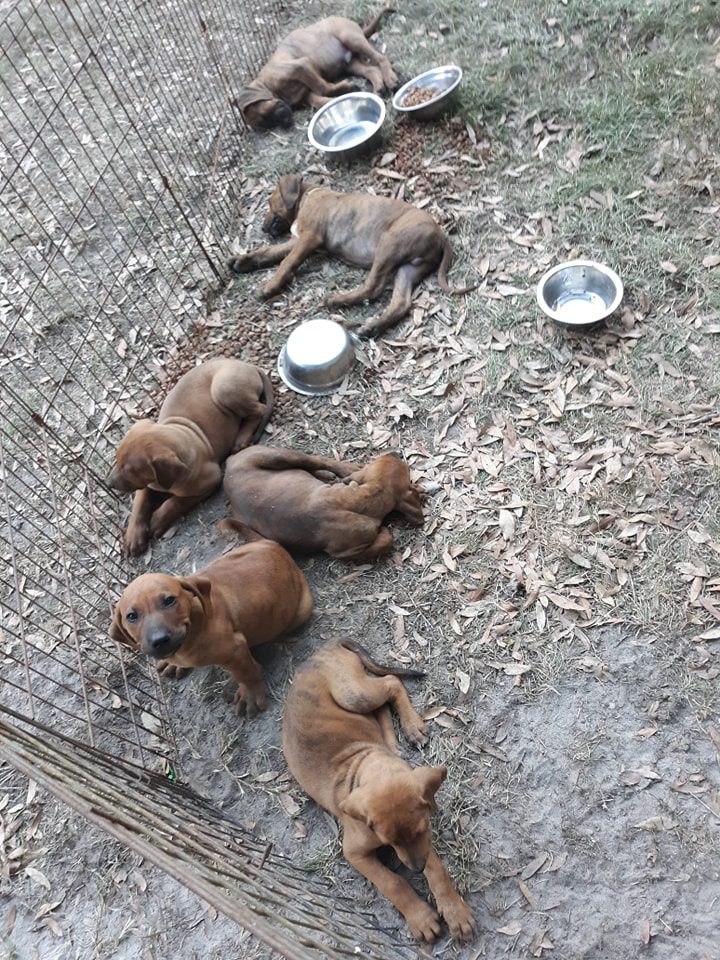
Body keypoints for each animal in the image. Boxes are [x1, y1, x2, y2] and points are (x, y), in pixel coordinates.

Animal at [107, 358, 272, 556]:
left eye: (131, 471)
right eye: (116, 460)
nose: (108, 483)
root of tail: (246, 365)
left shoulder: (211, 480)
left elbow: (177, 501)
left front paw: (156, 521)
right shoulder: (146, 485)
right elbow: (139, 503)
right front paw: (133, 536)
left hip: (223, 388)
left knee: (259, 409)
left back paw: (242, 438)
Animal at [222, 450, 424, 564]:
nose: (395, 453)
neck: (366, 497)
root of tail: (229, 463)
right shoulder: (343, 552)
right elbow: (386, 541)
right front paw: (384, 532)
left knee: (315, 462)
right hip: (278, 455)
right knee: (317, 461)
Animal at [226, 176, 472, 338]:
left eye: (270, 202)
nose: (262, 228)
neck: (307, 196)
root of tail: (440, 234)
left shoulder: (308, 239)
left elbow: (286, 262)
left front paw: (269, 287)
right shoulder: (297, 240)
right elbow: (268, 252)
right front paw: (243, 261)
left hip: (389, 243)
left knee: (374, 287)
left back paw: (338, 300)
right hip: (408, 268)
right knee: (401, 302)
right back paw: (373, 327)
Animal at [236, 9, 396, 130]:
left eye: (264, 113)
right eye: (268, 125)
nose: (286, 122)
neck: (271, 87)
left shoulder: (301, 66)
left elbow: (322, 87)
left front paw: (343, 89)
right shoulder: (305, 94)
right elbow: (319, 101)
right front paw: (338, 96)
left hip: (351, 39)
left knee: (381, 58)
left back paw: (390, 79)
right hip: (352, 64)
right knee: (372, 70)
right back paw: (379, 87)